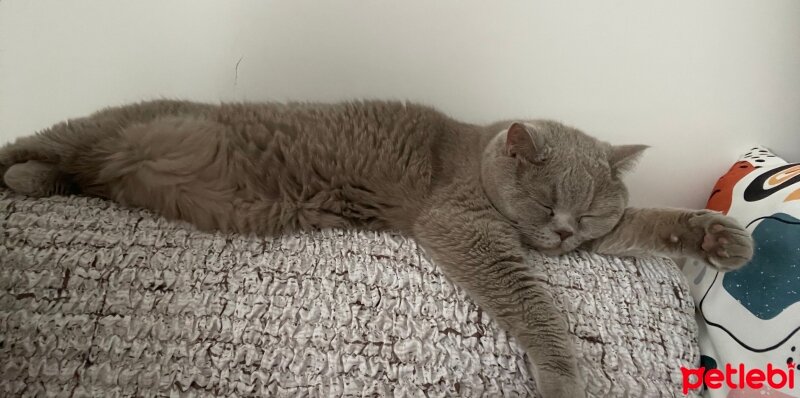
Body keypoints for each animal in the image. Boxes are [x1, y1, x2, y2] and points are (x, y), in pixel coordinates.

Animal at [0, 100, 752, 398]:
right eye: (546, 202)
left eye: (591, 209)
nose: (566, 231)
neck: (475, 156)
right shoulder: (461, 223)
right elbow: (528, 293)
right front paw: (564, 375)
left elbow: (645, 224)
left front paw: (717, 237)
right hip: (93, 131)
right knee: (42, 143)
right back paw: (19, 173)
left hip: (104, 167)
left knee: (74, 173)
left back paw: (32, 182)